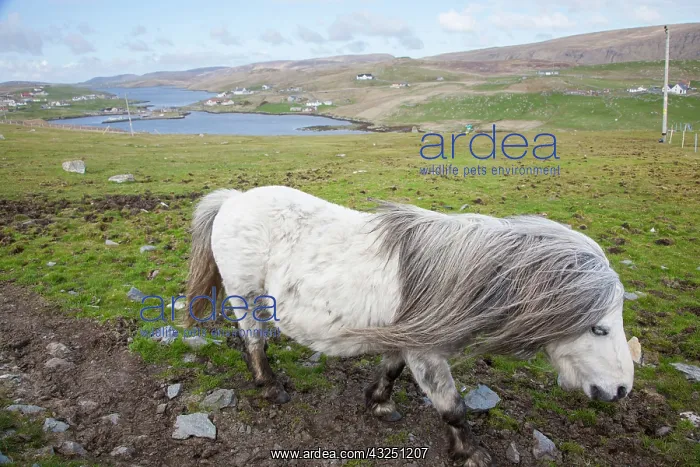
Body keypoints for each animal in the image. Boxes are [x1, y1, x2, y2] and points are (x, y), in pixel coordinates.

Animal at [183, 185, 634, 467]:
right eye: (598, 328)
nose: (621, 391)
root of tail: (234, 200)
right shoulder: (428, 352)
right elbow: (452, 406)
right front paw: (472, 454)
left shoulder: (407, 339)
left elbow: (392, 369)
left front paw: (379, 404)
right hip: (245, 296)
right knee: (252, 341)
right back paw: (270, 386)